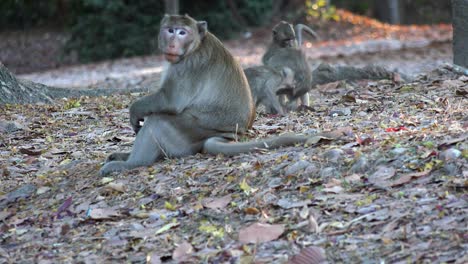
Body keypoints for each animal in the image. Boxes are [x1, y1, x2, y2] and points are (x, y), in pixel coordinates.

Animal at [100, 13, 312, 175]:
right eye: (170, 30)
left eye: (182, 32)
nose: (172, 44)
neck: (196, 44)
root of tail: (231, 136)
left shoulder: (188, 66)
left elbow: (170, 100)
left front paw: (135, 111)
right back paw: (124, 157)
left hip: (191, 132)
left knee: (159, 120)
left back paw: (132, 163)